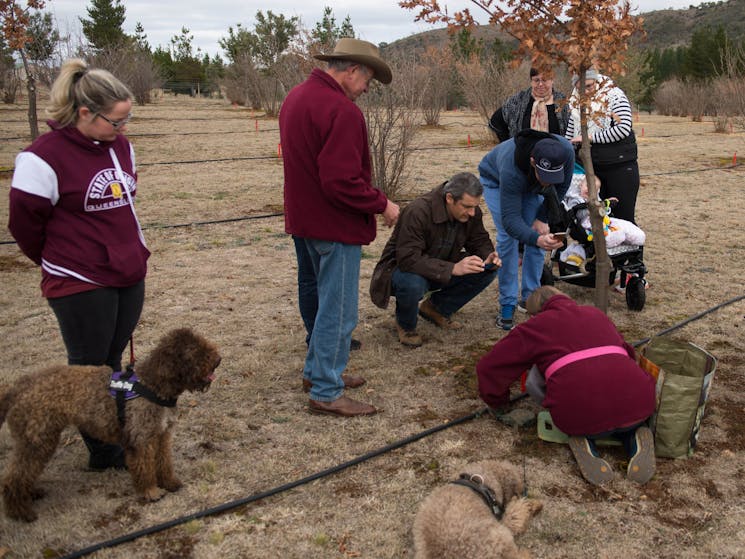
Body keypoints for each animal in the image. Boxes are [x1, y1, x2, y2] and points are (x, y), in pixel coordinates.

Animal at [0, 326, 219, 524]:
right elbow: (145, 468)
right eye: (194, 352)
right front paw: (150, 491)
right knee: (13, 477)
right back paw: (20, 512)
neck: (153, 386)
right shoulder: (141, 439)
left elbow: (163, 462)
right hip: (38, 440)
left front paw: (170, 483)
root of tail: (16, 389)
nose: (218, 360)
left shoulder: (161, 434)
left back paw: (31, 493)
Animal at [412, 460, 540, 559]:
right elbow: (518, 511)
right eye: (519, 491)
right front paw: (532, 505)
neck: (476, 481)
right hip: (499, 538)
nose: (524, 491)